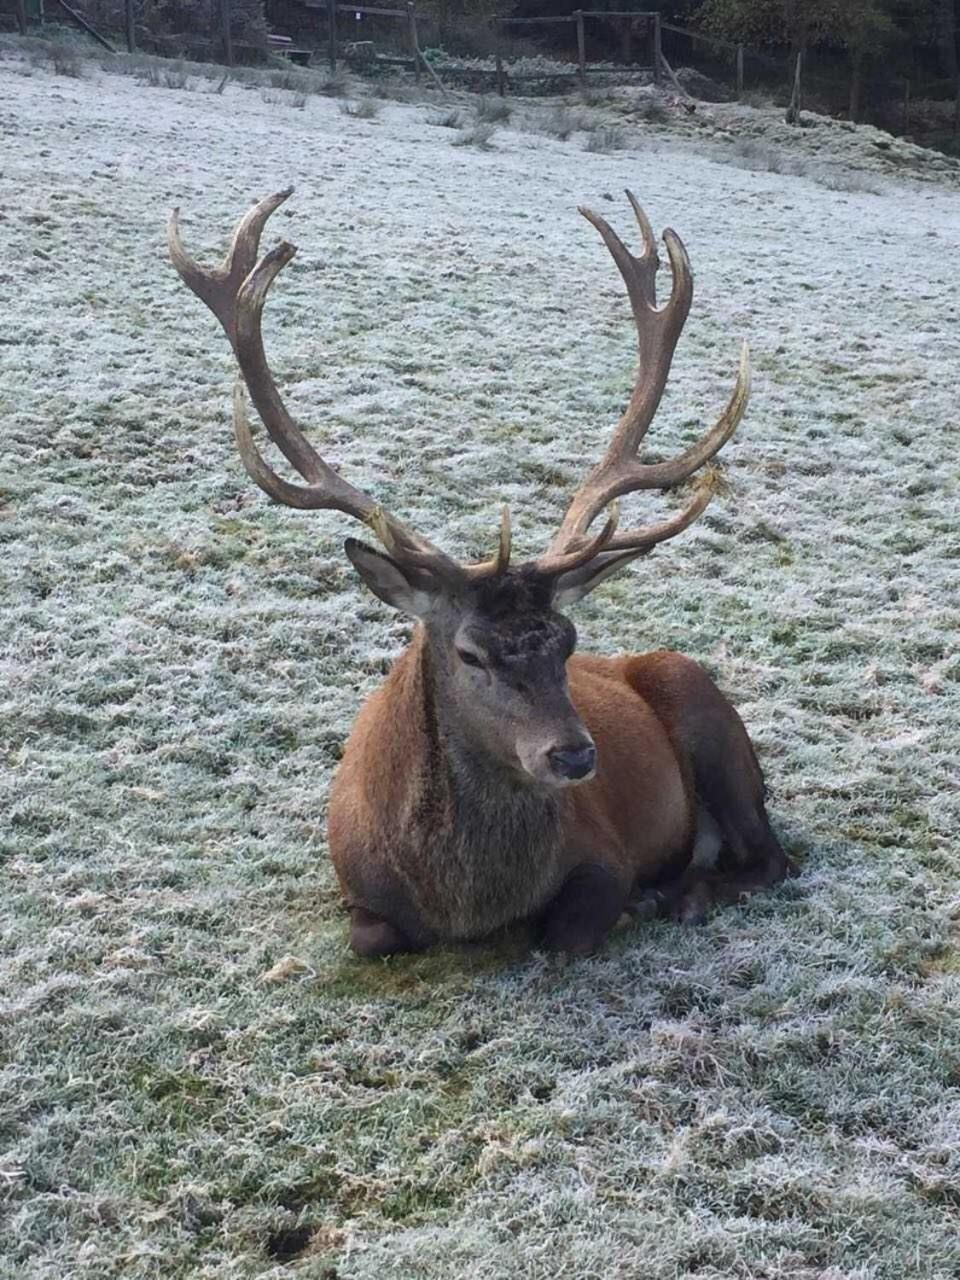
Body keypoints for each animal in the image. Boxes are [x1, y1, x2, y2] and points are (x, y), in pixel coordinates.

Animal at [167, 186, 798, 952]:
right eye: (470, 653)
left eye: (568, 641)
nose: (574, 758)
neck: (464, 906)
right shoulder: (355, 889)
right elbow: (371, 937)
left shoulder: (605, 856)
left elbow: (557, 933)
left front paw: (628, 905)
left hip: (705, 711)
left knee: (772, 858)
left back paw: (681, 895)